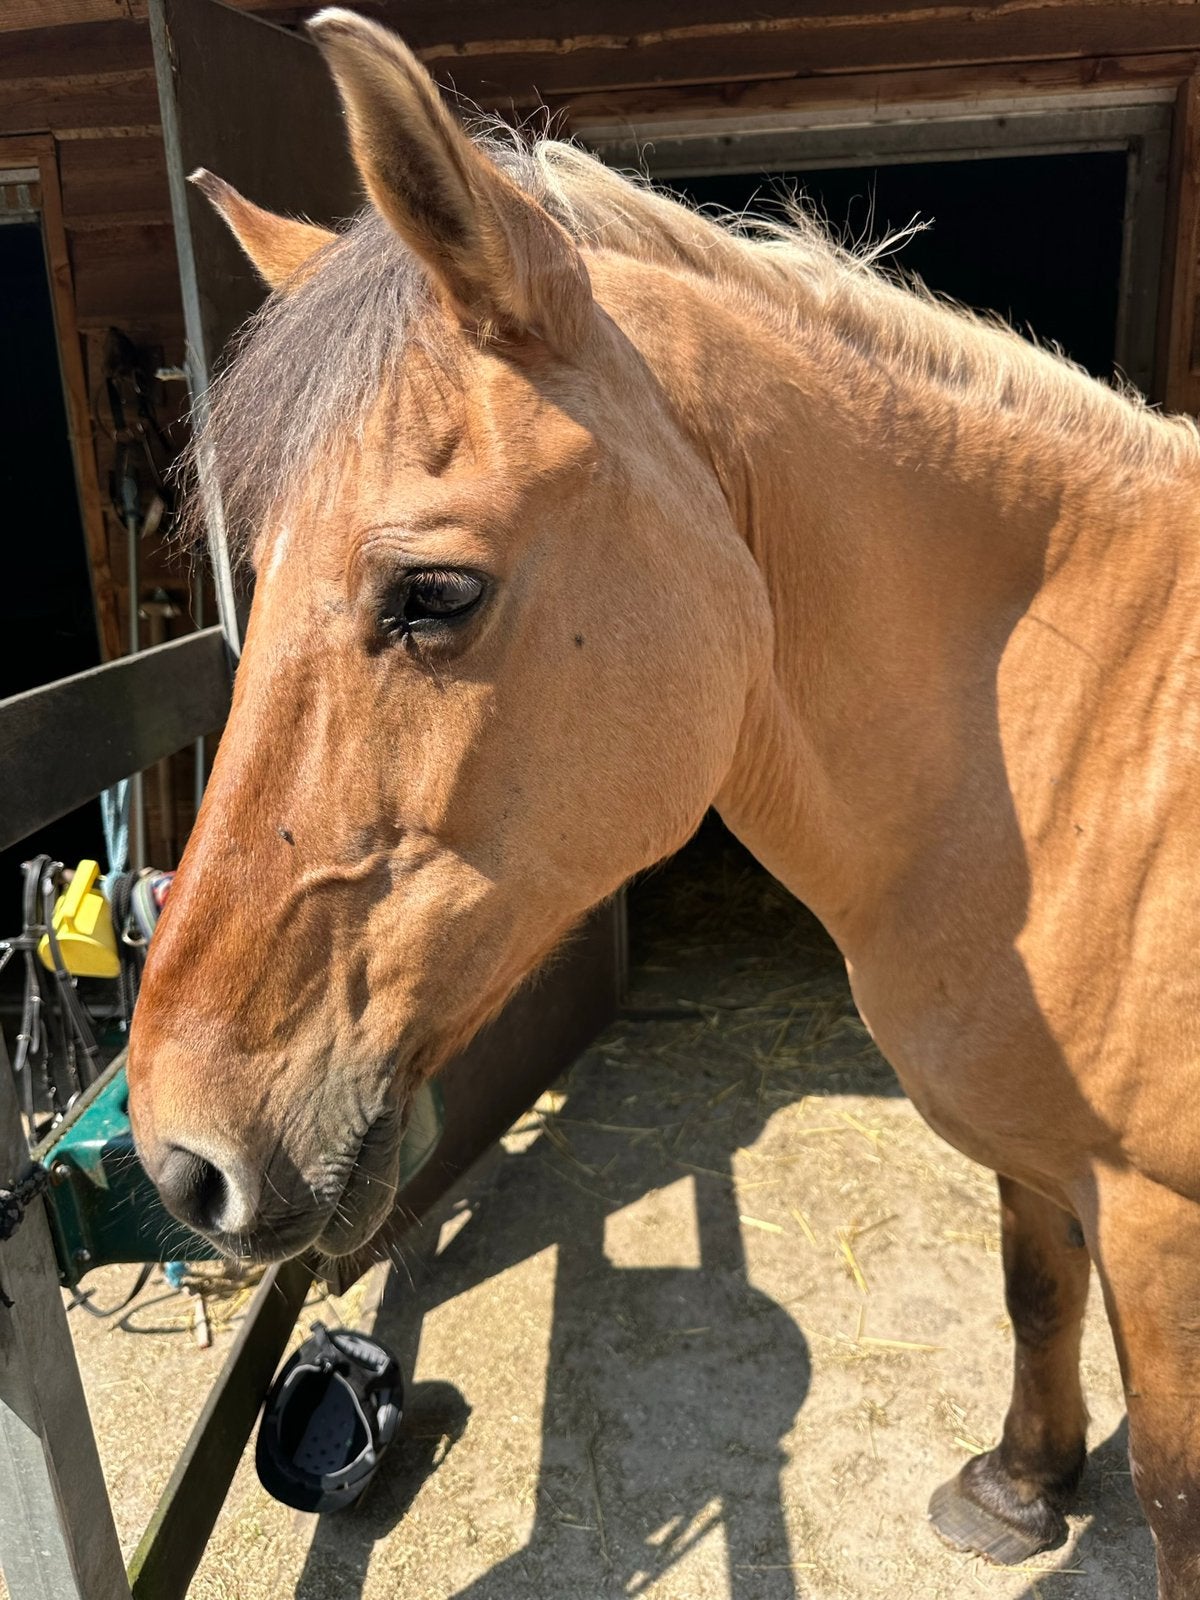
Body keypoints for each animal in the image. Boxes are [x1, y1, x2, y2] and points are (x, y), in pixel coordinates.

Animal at [126, 10, 1200, 1591]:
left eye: (432, 593)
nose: (177, 1158)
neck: (1088, 740)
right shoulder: (1047, 1159)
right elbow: (1031, 1287)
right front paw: (1018, 1484)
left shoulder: (1164, 1229)